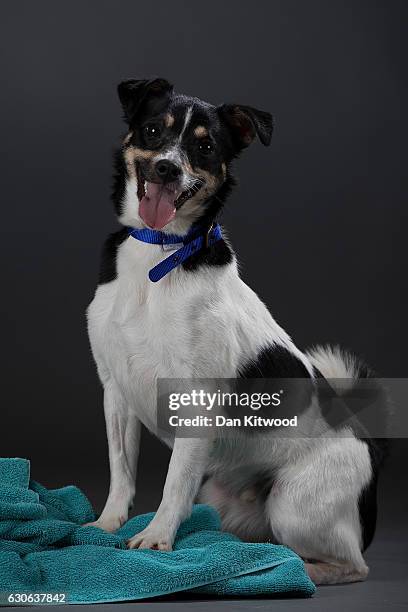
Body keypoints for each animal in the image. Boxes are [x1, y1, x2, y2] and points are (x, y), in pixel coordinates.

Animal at [87, 79, 388, 584]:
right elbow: (120, 468)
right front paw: (108, 523)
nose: (167, 168)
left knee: (354, 564)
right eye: (153, 130)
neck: (160, 250)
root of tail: (369, 444)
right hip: (225, 499)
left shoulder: (195, 402)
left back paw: (299, 569)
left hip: (294, 505)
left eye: (205, 147)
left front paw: (156, 538)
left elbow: (173, 483)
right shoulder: (115, 391)